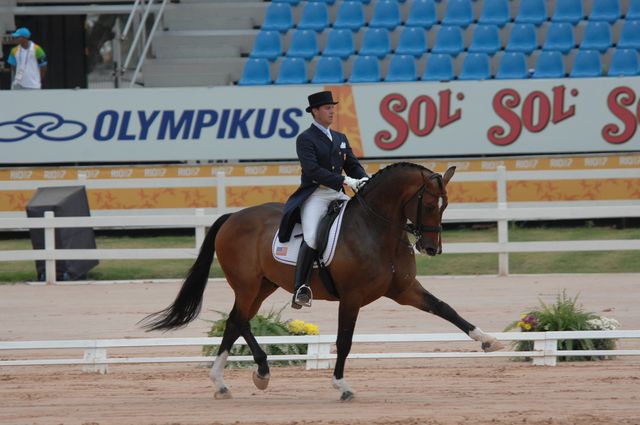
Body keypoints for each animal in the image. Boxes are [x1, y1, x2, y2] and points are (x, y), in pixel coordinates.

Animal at [141, 162, 504, 401]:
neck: (376, 230)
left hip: (263, 285)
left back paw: (232, 380)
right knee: (238, 320)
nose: (432, 248)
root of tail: (233, 216)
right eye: (428, 204)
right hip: (246, 285)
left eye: (445, 205)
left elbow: (445, 308)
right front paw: (342, 386)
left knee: (235, 322)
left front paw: (487, 340)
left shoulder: (404, 290)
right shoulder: (352, 297)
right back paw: (251, 374)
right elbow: (344, 341)